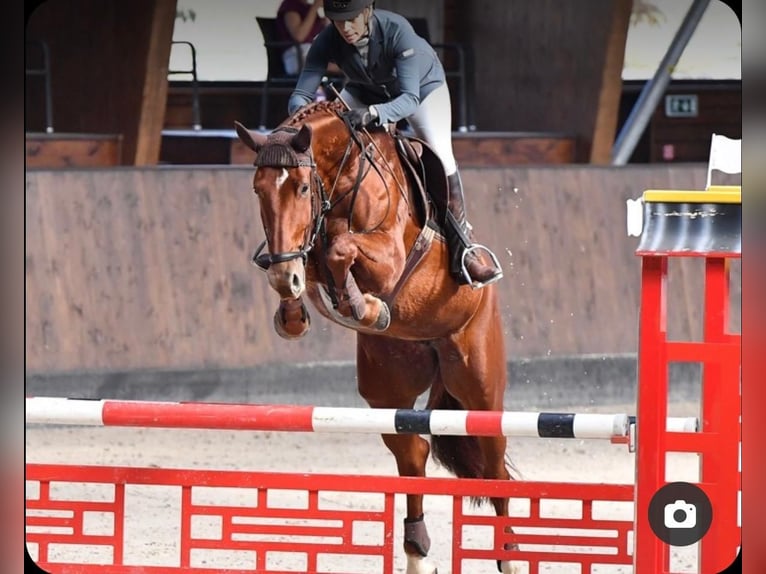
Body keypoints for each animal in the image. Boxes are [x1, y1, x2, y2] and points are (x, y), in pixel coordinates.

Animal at [236, 101, 520, 572]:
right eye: (258, 191)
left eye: (301, 188)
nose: (282, 274)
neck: (343, 177)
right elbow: (316, 261)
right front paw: (293, 308)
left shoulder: (387, 257)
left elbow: (340, 250)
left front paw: (362, 304)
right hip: (388, 387)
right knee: (413, 453)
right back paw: (417, 551)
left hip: (478, 385)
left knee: (495, 466)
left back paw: (508, 557)